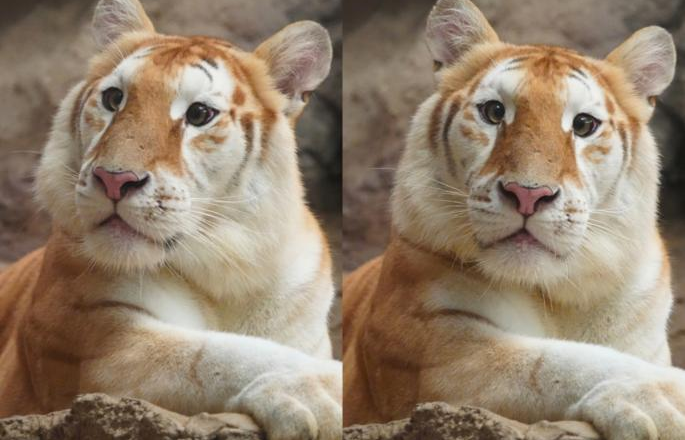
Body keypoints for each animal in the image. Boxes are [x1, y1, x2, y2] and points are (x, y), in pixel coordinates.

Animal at [0, 0, 340, 440]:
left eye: (199, 114)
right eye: (114, 98)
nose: (114, 179)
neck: (230, 274)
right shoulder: (92, 340)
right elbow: (215, 353)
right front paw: (317, 393)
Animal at [342, 0, 684, 436]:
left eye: (584, 125)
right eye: (494, 112)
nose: (528, 194)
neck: (557, 295)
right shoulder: (432, 350)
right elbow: (558, 362)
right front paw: (663, 399)